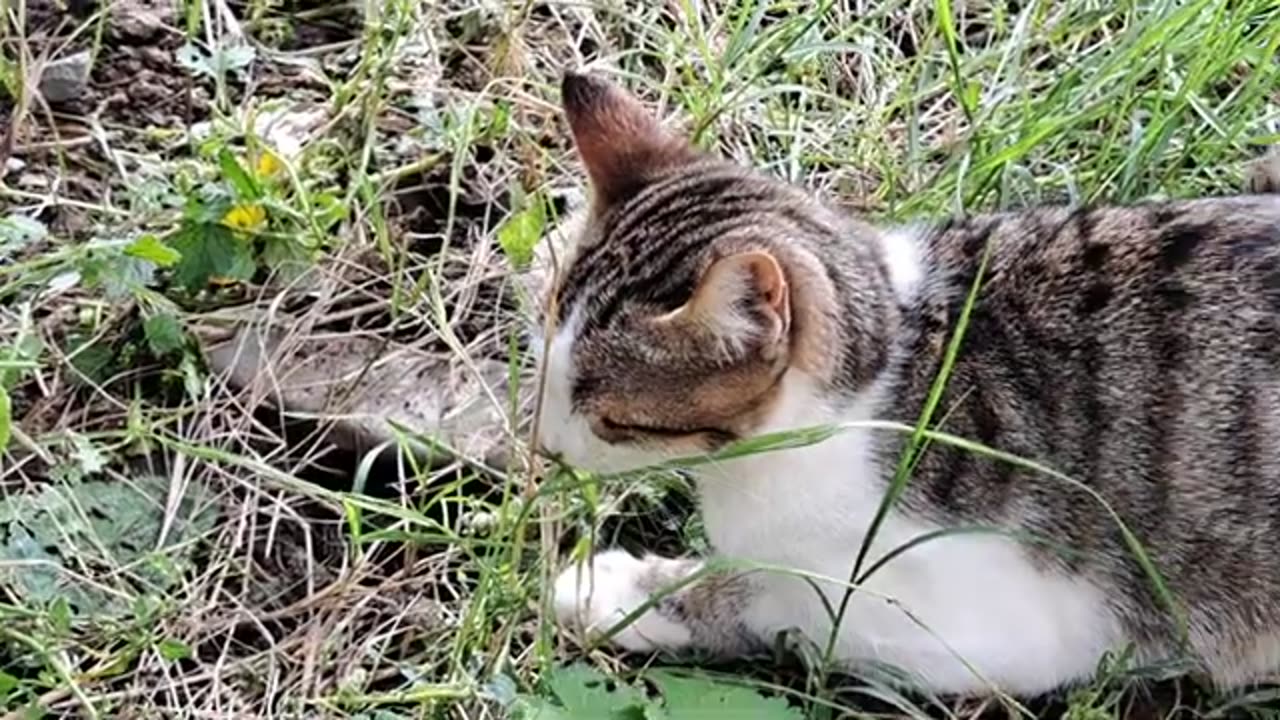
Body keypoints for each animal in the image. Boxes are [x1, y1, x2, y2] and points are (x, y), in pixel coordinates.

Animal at [535, 70, 1280, 691]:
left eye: (616, 419)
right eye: (543, 365)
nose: (545, 448)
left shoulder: (997, 630)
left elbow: (774, 600)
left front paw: (618, 590)